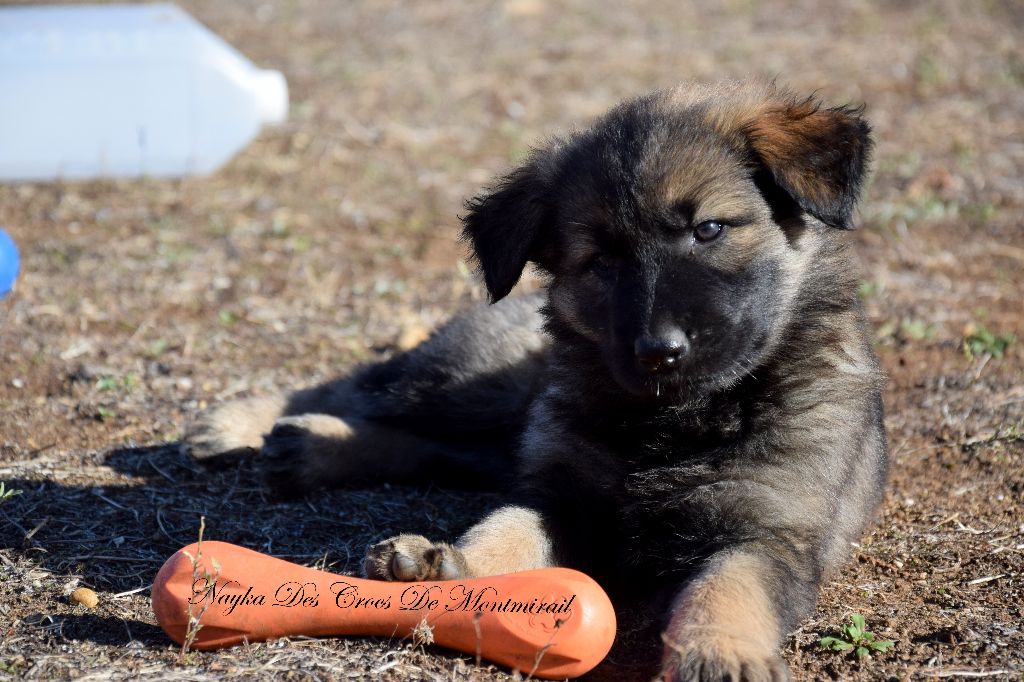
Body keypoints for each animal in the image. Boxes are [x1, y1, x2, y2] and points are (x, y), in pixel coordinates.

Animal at [184, 80, 888, 679]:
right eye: (600, 260)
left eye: (709, 229)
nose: (659, 352)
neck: (673, 422)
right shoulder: (559, 496)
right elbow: (505, 529)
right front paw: (450, 566)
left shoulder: (768, 536)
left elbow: (728, 589)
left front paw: (720, 655)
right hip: (475, 386)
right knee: (365, 389)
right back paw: (248, 424)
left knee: (427, 444)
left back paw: (305, 448)